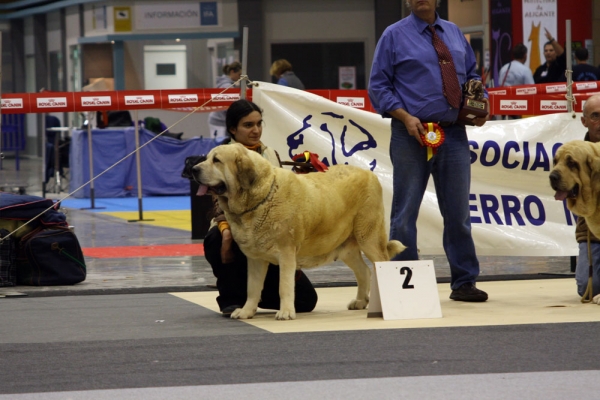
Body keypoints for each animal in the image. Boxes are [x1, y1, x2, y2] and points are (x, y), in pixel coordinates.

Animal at [195, 144, 406, 322]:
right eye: (206, 158)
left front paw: (286, 312)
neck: (262, 197)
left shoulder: (286, 253)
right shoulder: (255, 259)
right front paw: (247, 311)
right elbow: (252, 288)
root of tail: (370, 174)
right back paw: (361, 301)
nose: (194, 169)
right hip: (346, 247)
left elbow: (284, 285)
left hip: (369, 239)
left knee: (382, 265)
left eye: (217, 160)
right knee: (364, 271)